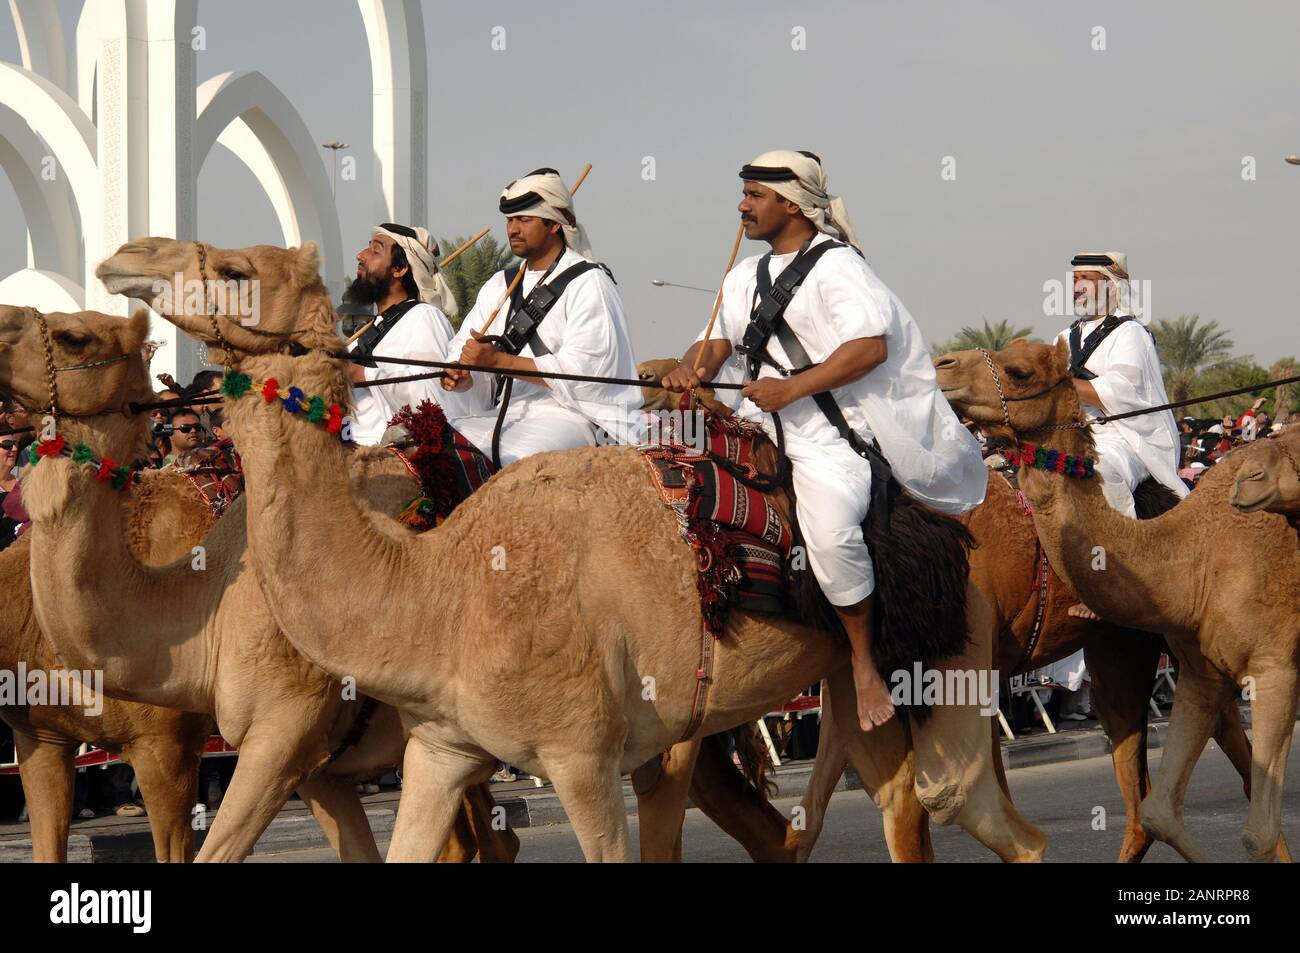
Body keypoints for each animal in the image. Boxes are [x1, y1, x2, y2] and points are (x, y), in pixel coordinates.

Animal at [98, 237, 1047, 863]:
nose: (125, 255)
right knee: (889, 803)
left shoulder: (582, 756)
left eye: (235, 271)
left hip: (943, 655)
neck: (440, 587)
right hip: (850, 694)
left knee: (981, 813)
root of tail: (956, 527)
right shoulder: (439, 750)